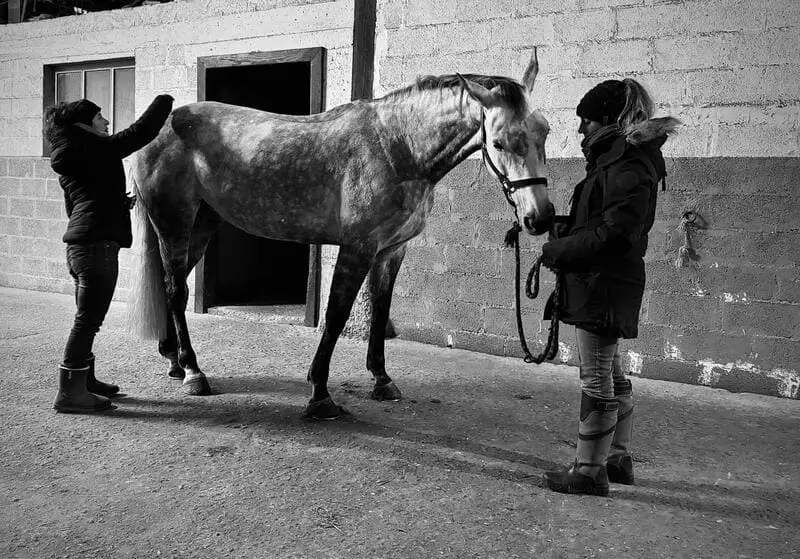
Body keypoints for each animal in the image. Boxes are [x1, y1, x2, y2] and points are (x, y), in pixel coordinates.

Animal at [128, 52, 554, 419]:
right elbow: (336, 314)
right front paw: (320, 394)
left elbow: (379, 310)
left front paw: (382, 380)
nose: (540, 218)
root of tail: (164, 124)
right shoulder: (357, 248)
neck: (397, 148)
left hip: (203, 224)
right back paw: (193, 372)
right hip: (174, 223)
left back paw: (174, 362)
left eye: (545, 132)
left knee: (172, 283)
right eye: (498, 142)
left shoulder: (392, 251)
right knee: (176, 290)